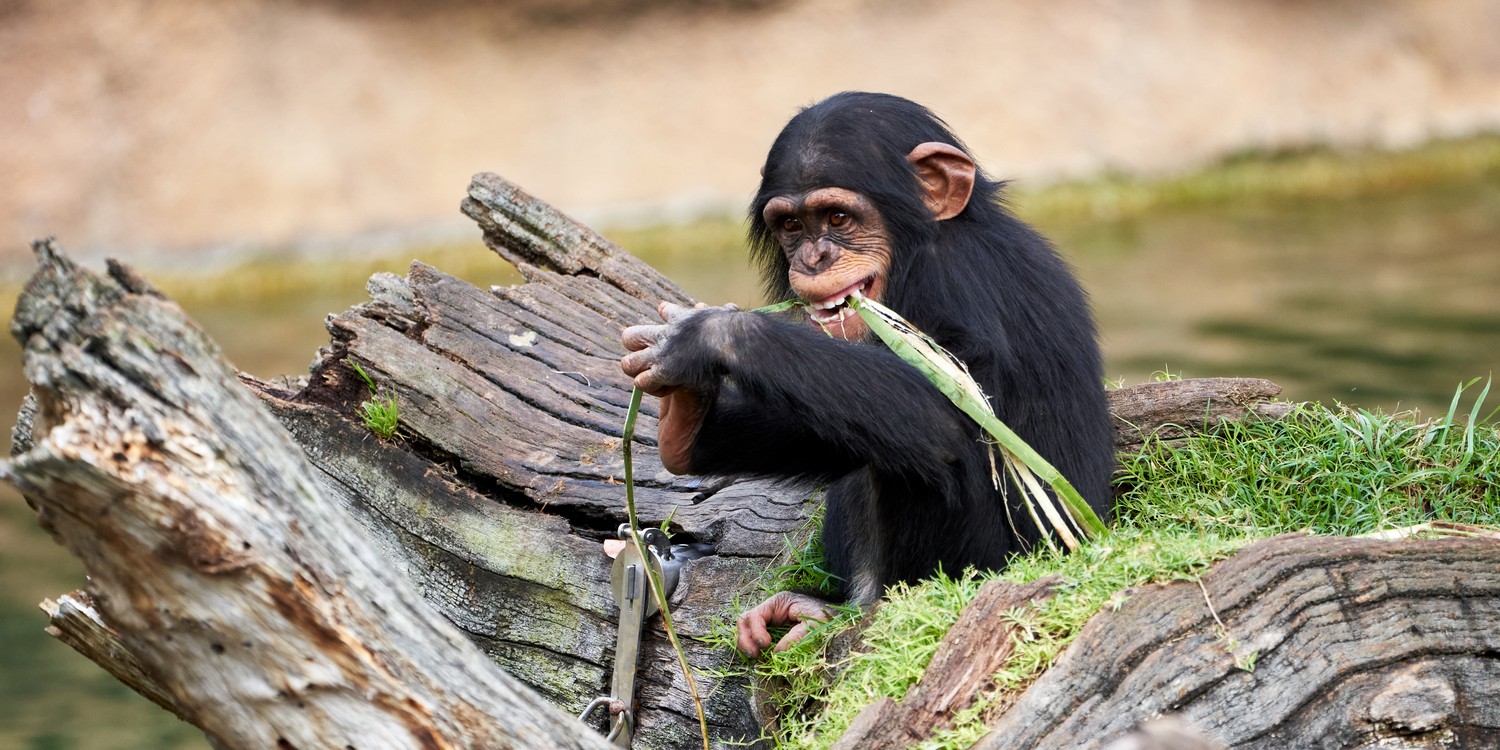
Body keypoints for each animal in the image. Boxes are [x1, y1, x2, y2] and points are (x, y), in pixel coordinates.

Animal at [618, 93, 1116, 657]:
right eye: (791, 226)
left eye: (837, 216)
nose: (815, 257)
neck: (916, 254)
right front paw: (684, 417)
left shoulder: (958, 281)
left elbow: (947, 413)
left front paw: (703, 338)